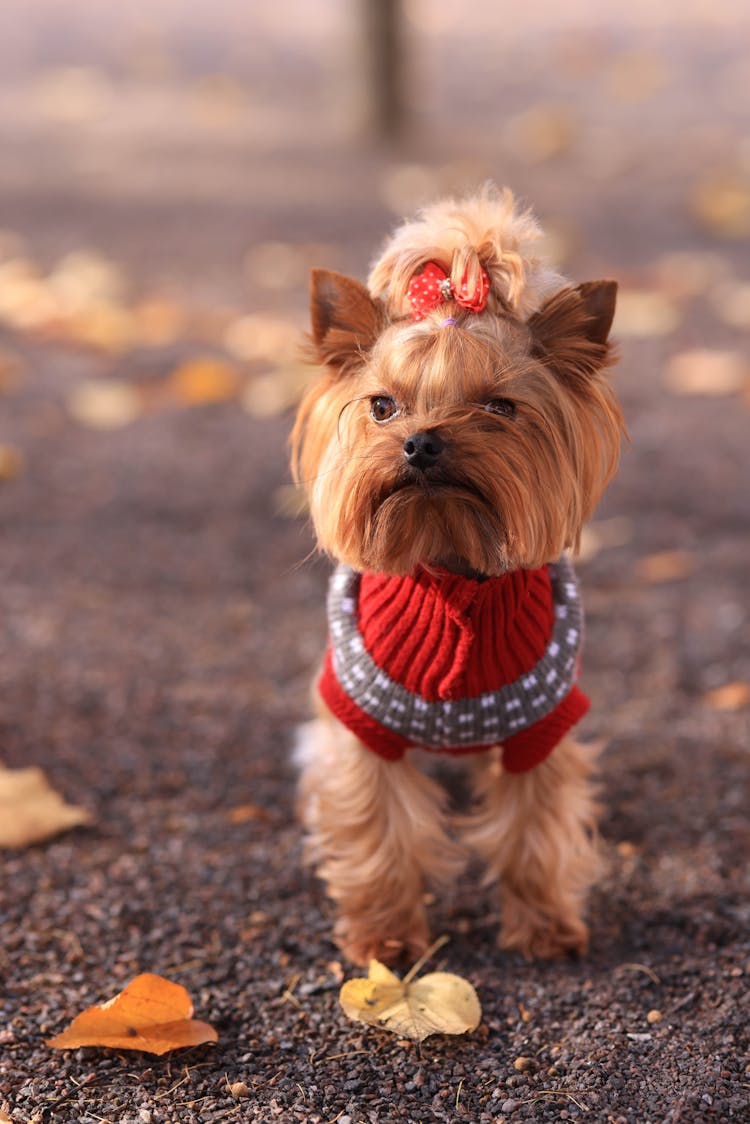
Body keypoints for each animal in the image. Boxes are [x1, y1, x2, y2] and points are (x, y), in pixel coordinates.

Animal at [290, 184, 625, 966]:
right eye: (383, 406)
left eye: (499, 406)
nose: (420, 442)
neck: (450, 563)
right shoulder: (365, 728)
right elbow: (377, 830)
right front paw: (385, 940)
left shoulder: (542, 726)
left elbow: (537, 828)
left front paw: (545, 928)